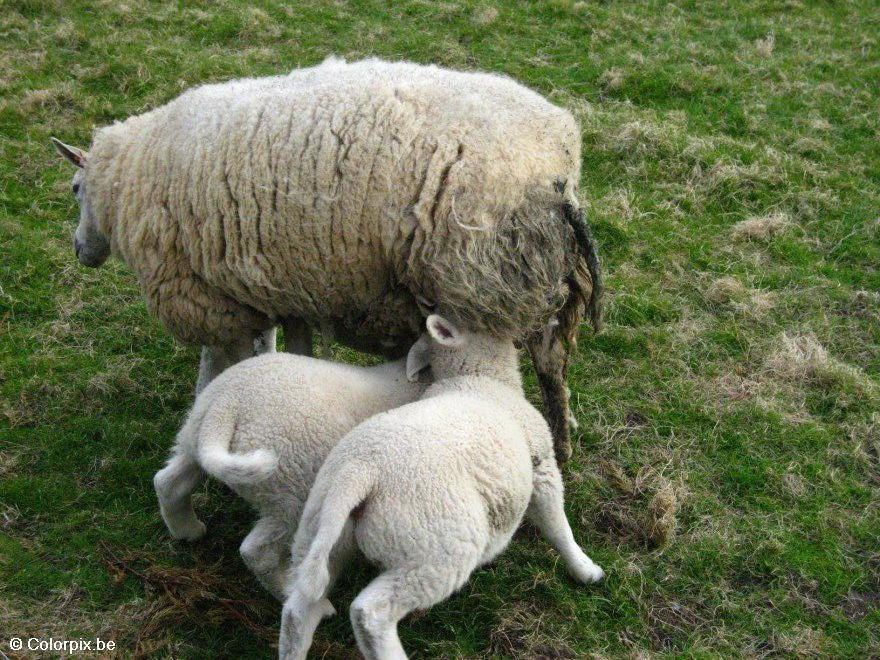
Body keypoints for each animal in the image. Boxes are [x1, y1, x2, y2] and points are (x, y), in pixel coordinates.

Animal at [52, 57, 603, 461]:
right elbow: (283, 344)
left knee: (543, 362)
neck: (129, 177)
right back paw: (564, 429)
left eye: (75, 188)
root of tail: (558, 164)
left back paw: (555, 443)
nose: (80, 251)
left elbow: (217, 364)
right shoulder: (272, 285)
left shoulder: (205, 293)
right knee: (553, 356)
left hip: (486, 277)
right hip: (532, 272)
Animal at [152, 351, 429, 599]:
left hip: (194, 442)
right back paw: (287, 590)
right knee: (257, 551)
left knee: (168, 483)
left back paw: (187, 530)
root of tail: (227, 405)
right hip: (291, 491)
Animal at [278, 314, 604, 660]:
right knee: (370, 613)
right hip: (433, 552)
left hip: (319, 532)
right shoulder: (542, 465)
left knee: (298, 610)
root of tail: (358, 473)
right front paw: (585, 569)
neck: (482, 377)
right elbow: (558, 527)